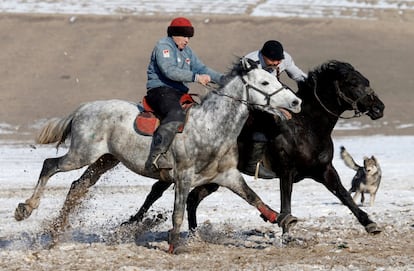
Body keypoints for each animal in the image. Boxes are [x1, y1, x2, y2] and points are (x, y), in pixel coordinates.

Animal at [15, 58, 300, 254]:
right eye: (265, 83)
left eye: (276, 79)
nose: (296, 102)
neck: (211, 127)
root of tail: (83, 108)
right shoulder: (183, 178)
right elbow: (178, 212)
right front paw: (174, 246)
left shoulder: (228, 176)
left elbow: (254, 198)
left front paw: (283, 219)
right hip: (81, 155)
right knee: (50, 166)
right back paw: (25, 209)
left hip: (104, 160)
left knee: (78, 187)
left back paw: (56, 233)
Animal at [125, 60, 384, 236]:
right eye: (353, 83)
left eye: (366, 80)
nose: (379, 108)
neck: (306, 127)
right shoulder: (286, 172)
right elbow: (286, 203)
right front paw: (286, 232)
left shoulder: (325, 171)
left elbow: (344, 195)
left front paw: (370, 223)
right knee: (157, 191)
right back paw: (132, 222)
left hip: (212, 179)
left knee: (192, 199)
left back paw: (194, 232)